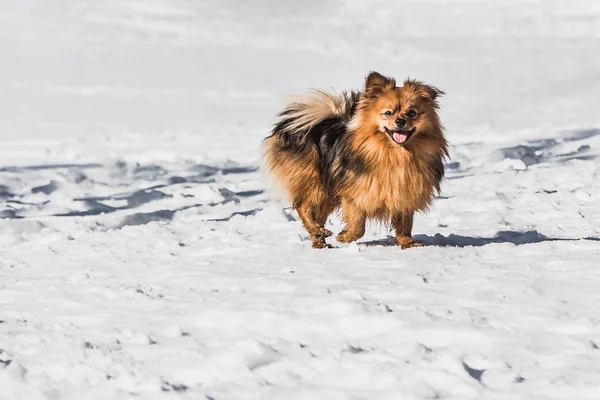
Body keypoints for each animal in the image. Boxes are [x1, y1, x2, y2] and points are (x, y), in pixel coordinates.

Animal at [262, 71, 446, 247]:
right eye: (388, 113)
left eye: (412, 113)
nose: (400, 121)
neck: (395, 154)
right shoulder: (353, 195)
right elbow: (358, 226)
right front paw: (344, 236)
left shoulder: (404, 193)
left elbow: (405, 223)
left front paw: (408, 243)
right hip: (316, 183)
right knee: (304, 206)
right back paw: (318, 231)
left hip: (328, 193)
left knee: (317, 214)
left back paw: (320, 239)